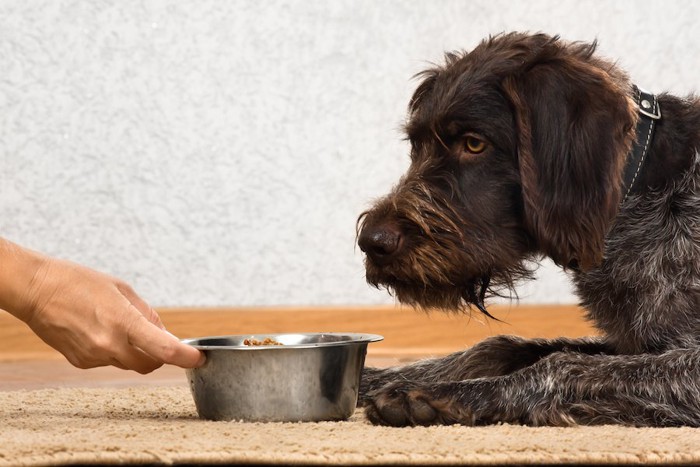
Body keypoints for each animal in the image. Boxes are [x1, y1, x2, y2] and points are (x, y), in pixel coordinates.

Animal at [356, 33, 700, 428]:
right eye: (416, 145)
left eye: (474, 144)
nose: (371, 242)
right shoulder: (631, 344)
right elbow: (501, 346)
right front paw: (371, 376)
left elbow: (561, 365)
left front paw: (447, 394)